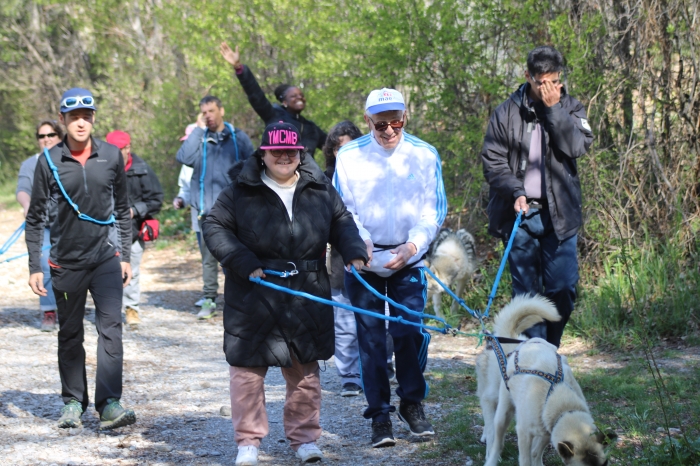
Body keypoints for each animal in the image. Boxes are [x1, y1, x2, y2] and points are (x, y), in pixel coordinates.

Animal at [476, 296, 612, 464]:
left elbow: (536, 453)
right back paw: (491, 458)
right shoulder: (524, 433)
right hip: (502, 412)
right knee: (496, 440)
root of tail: (523, 343)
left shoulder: (548, 432)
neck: (560, 401)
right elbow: (525, 458)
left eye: (605, 463)